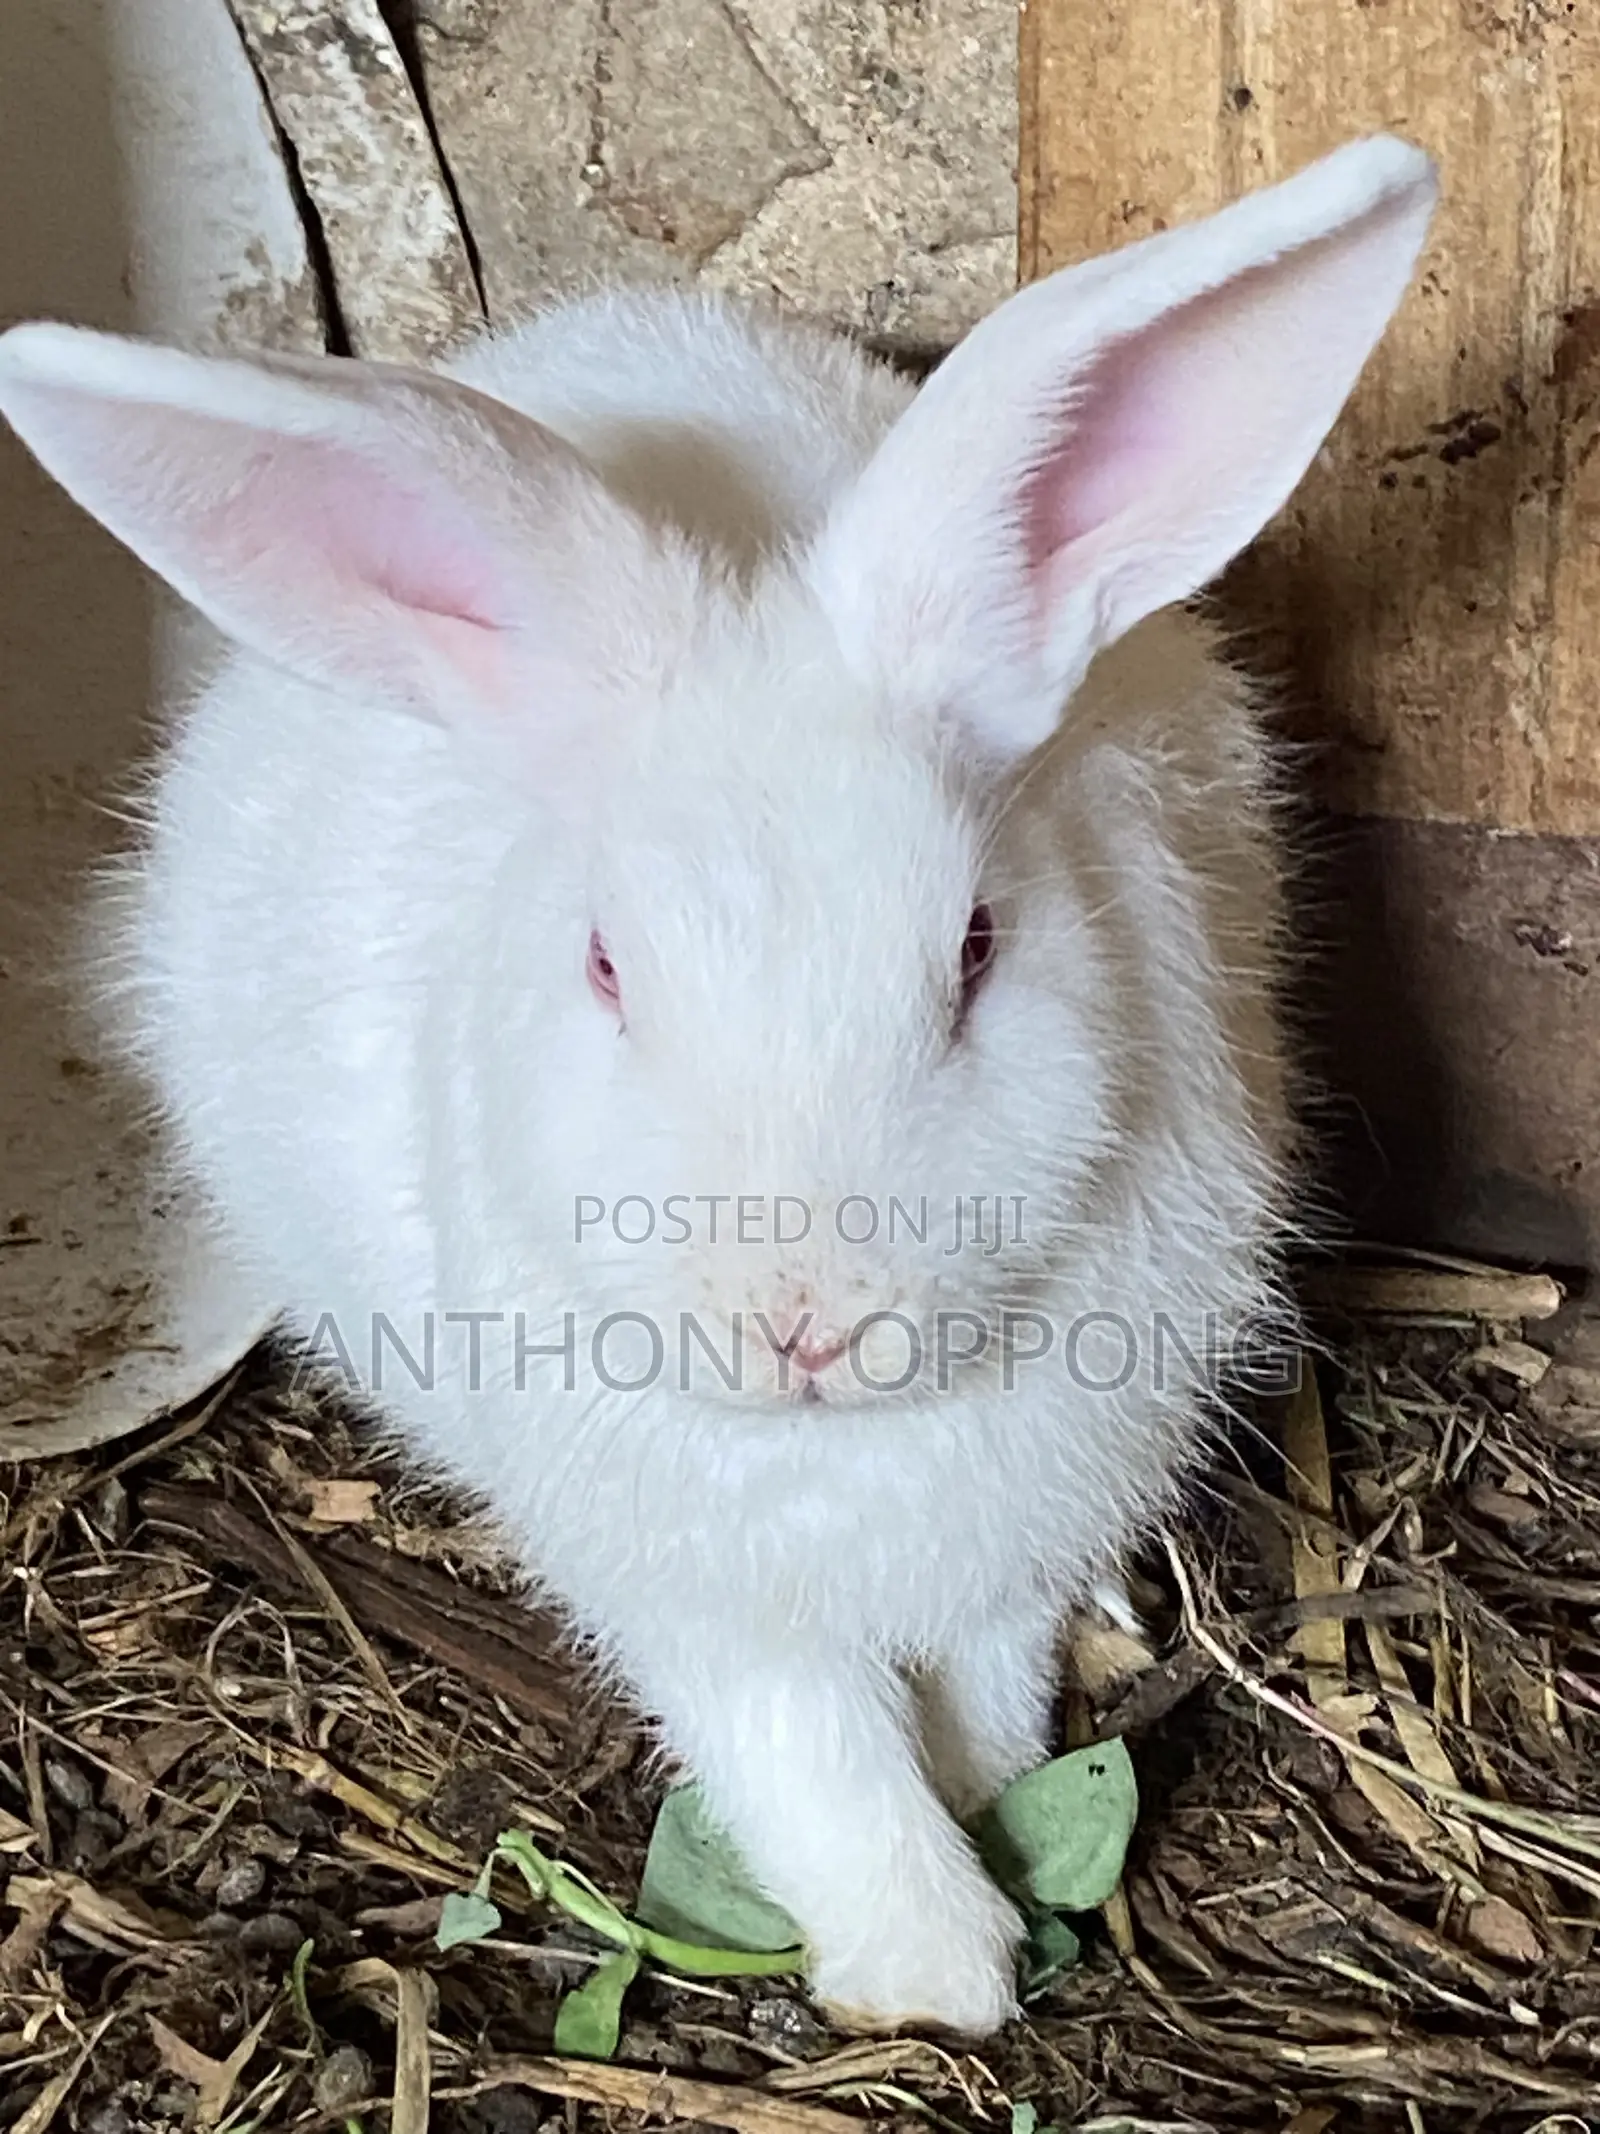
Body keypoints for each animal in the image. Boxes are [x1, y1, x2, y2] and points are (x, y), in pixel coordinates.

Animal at [0, 133, 1436, 2036]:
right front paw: (933, 1964)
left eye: (978, 945)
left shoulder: (1009, 1538)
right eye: (609, 968)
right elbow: (811, 1748)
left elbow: (979, 1684)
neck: (837, 1446)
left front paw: (981, 1816)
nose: (803, 1320)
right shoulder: (696, 1593)